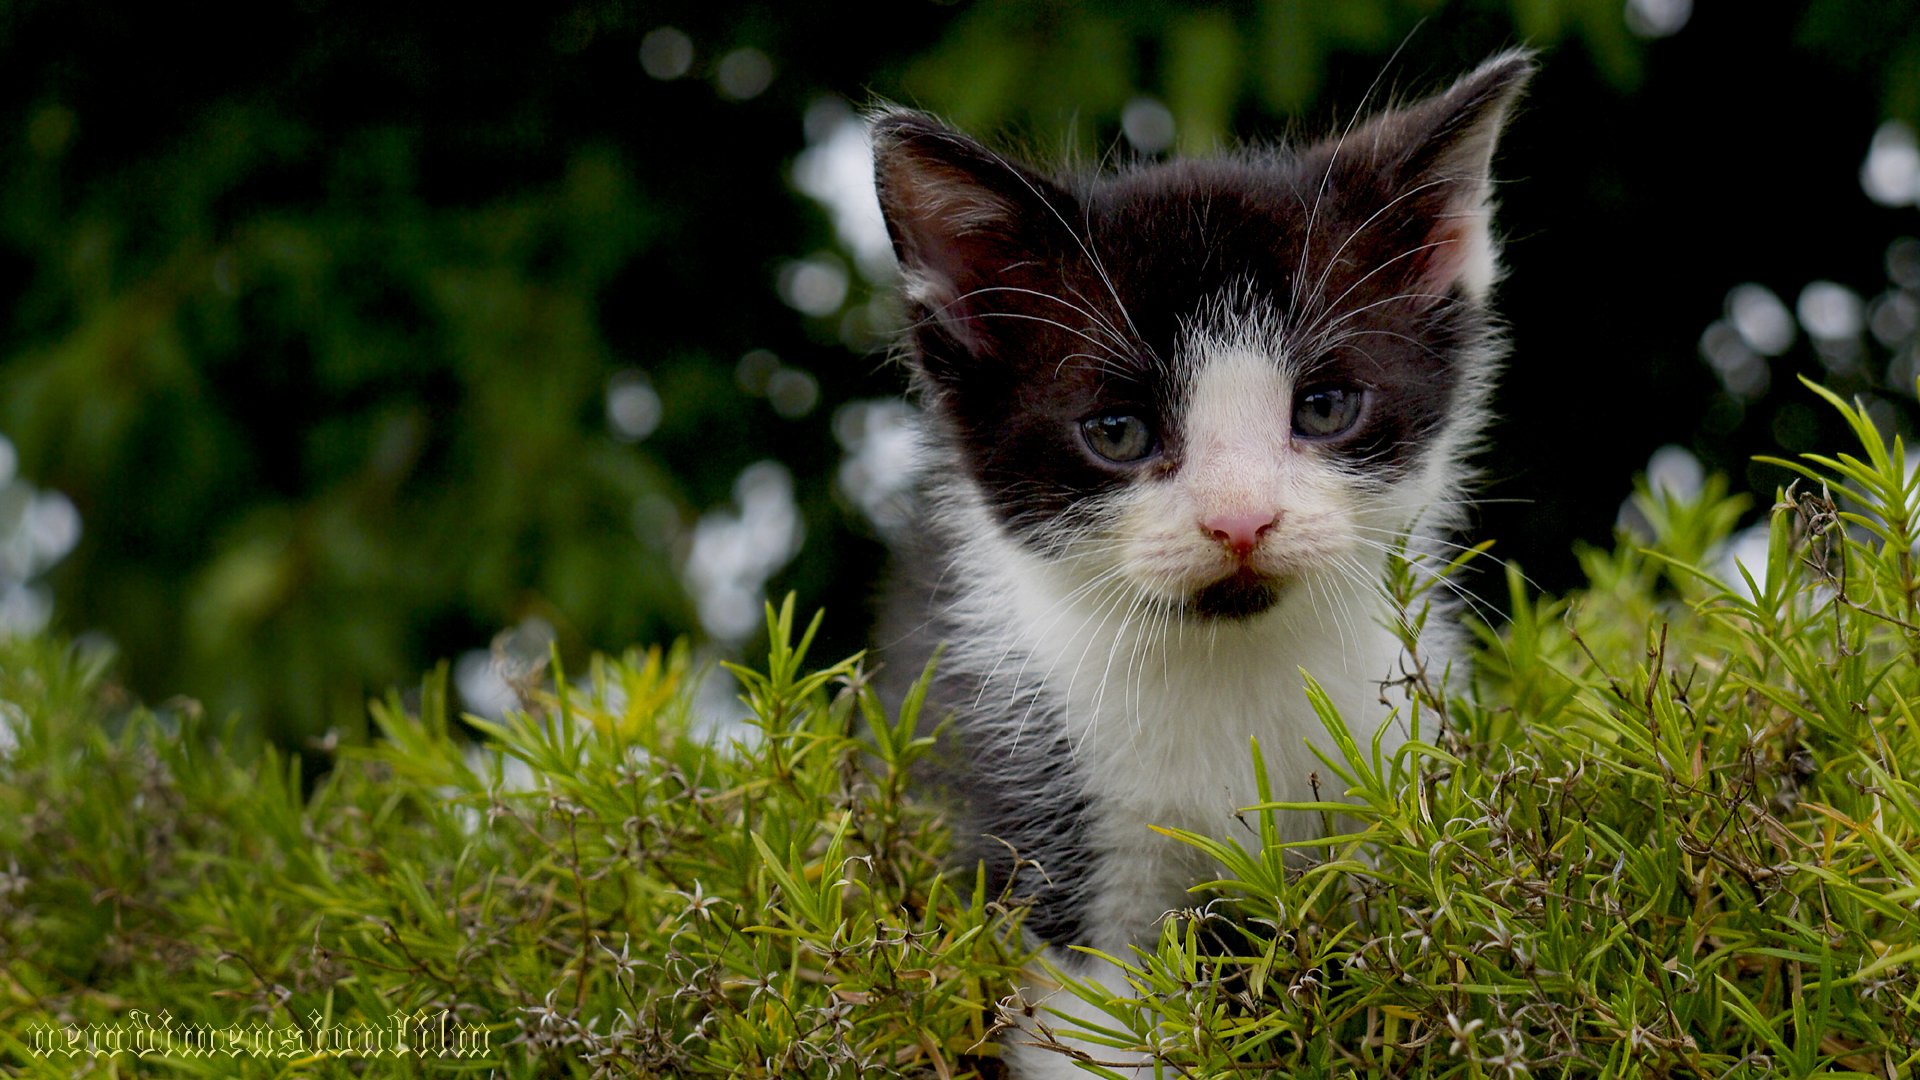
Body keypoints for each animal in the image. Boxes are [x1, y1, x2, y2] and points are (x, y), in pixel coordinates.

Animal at [879, 52, 1536, 1076]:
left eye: (1324, 407)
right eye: (1117, 431)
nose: (1240, 520)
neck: (1233, 671)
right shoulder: (1053, 842)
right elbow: (1094, 1030)